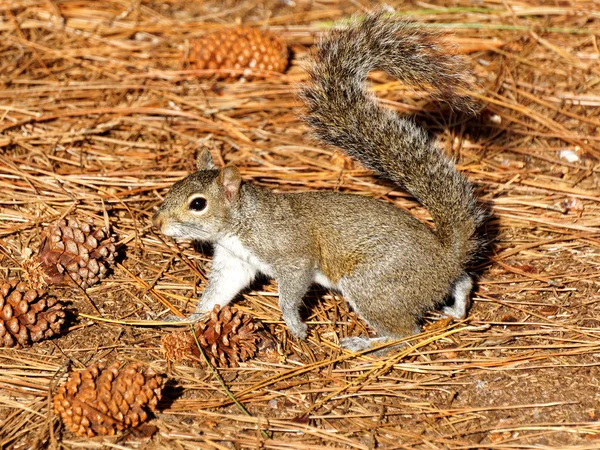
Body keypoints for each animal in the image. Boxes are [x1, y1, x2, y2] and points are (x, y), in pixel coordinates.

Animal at [151, 12, 488, 352]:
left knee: (406, 333)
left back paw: (366, 345)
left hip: (372, 284)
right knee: (463, 279)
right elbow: (216, 294)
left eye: (198, 204)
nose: (159, 224)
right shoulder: (235, 262)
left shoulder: (291, 254)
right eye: (173, 188)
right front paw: (187, 319)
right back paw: (457, 307)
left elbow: (290, 292)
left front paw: (295, 326)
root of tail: (444, 257)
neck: (242, 222)